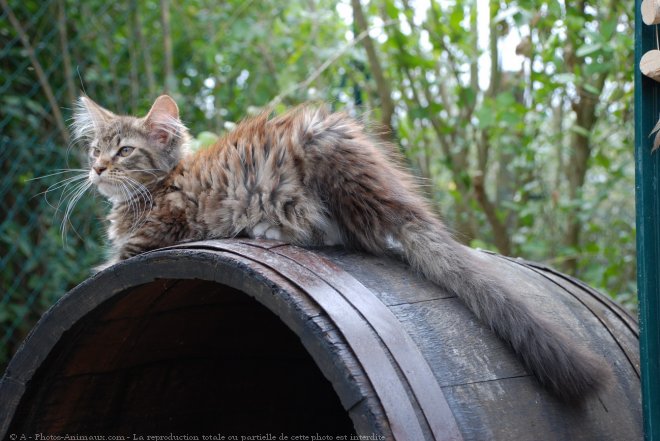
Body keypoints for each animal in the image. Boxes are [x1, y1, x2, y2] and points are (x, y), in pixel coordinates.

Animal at [71, 93, 608, 402]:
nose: (96, 170)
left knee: (350, 232)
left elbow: (105, 267)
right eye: (95, 150)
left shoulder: (152, 237)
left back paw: (272, 229)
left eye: (125, 152)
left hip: (318, 154)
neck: (159, 185)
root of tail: (392, 190)